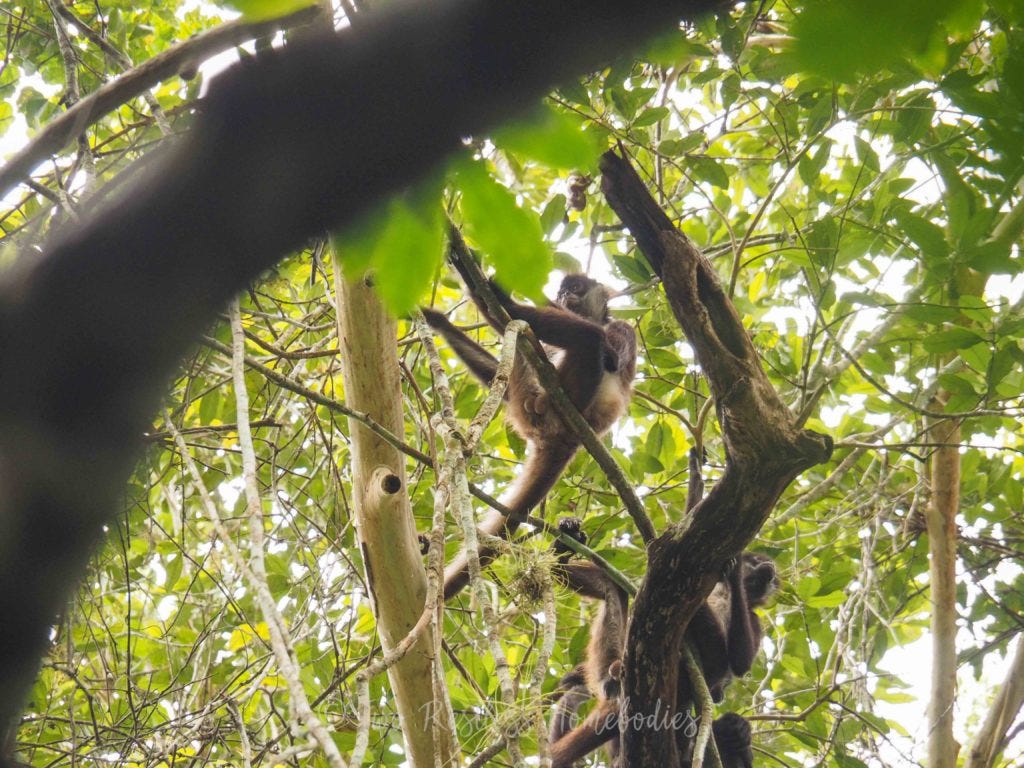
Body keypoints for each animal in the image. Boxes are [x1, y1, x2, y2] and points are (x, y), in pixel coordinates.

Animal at [419, 274, 634, 606]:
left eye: (576, 289)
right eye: (563, 291)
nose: (564, 296)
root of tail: (565, 440)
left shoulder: (624, 328)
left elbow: (609, 353)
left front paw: (498, 293)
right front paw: (440, 320)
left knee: (592, 338)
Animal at [552, 518, 774, 768]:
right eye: (756, 563)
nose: (769, 571)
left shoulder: (752, 617)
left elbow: (740, 662)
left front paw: (733, 573)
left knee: (717, 658)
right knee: (611, 584)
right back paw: (560, 556)